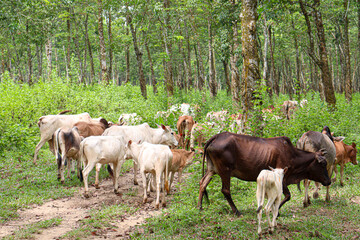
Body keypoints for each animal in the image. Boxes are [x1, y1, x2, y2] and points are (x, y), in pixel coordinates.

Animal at [198, 131, 330, 216]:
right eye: (323, 164)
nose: (328, 181)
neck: (293, 156)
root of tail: (216, 137)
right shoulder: (282, 178)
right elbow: (287, 196)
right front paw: (274, 211)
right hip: (225, 170)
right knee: (225, 190)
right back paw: (236, 211)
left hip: (212, 169)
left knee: (202, 183)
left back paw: (200, 207)